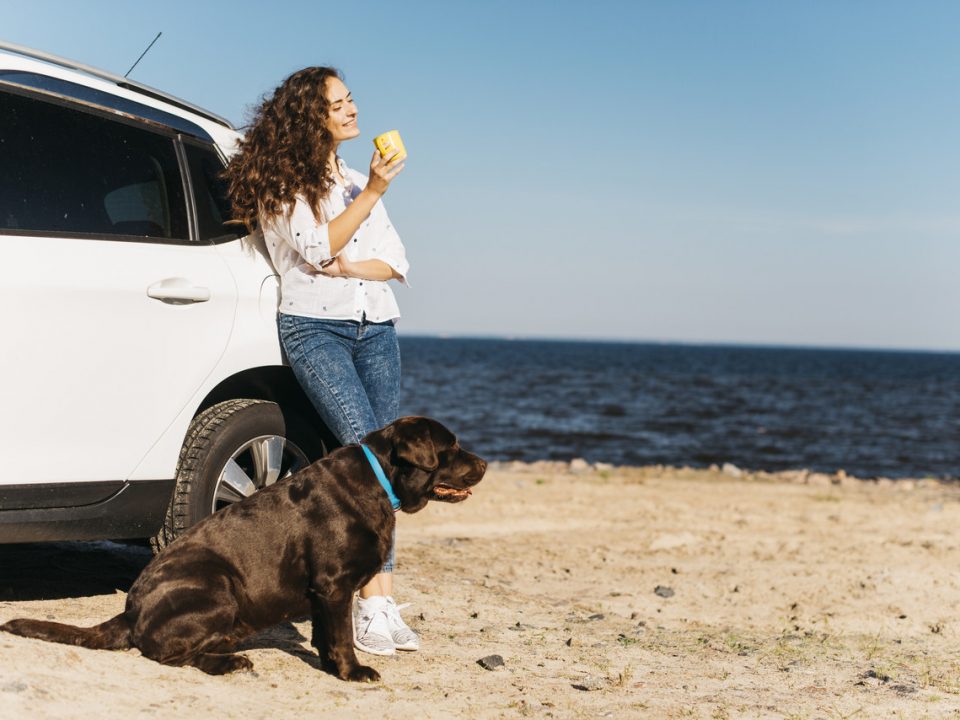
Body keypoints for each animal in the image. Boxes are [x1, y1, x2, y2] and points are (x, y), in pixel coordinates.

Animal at [1, 416, 488, 680]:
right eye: (452, 447)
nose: (484, 462)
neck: (379, 480)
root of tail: (130, 610)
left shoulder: (323, 592)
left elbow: (325, 635)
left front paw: (330, 665)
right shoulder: (333, 585)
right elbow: (341, 637)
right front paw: (352, 673)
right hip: (218, 584)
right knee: (163, 652)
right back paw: (230, 662)